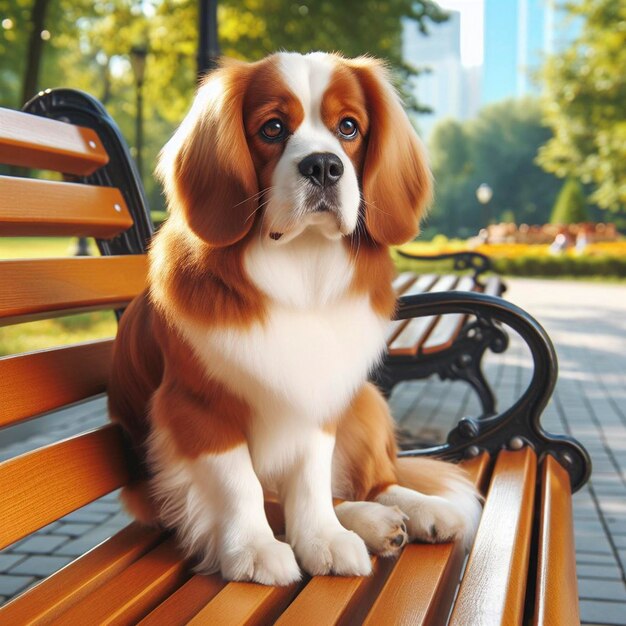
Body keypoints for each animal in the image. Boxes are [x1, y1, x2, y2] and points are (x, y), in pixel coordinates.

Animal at [108, 51, 478, 584]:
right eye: (273, 128)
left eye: (349, 127)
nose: (323, 165)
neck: (301, 272)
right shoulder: (196, 408)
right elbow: (241, 483)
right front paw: (253, 547)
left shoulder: (319, 398)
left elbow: (310, 481)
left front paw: (322, 537)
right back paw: (373, 520)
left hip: (364, 400)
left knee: (376, 480)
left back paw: (414, 509)